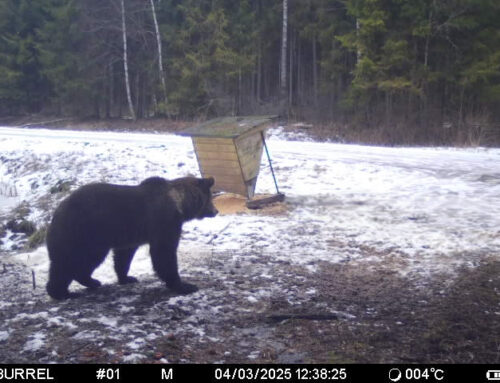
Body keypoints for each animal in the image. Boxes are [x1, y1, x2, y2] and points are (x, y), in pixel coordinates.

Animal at [46, 176, 217, 300]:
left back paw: (91, 281)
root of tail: (56, 213)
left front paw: (127, 277)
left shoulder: (131, 233)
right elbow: (164, 253)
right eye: (210, 198)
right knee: (70, 262)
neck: (179, 204)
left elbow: (124, 256)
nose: (215, 211)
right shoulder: (164, 223)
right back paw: (62, 292)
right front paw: (184, 285)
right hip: (82, 233)